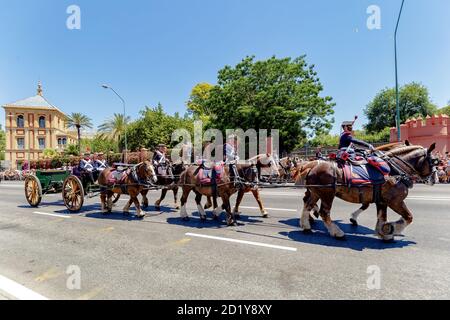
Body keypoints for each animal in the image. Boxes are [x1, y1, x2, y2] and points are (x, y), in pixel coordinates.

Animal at [294, 144, 438, 241]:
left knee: (307, 205)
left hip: (316, 192)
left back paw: (306, 226)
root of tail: (312, 166)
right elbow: (408, 217)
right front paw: (391, 229)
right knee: (324, 212)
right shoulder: (395, 201)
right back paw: (337, 232)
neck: (394, 170)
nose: (435, 179)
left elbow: (381, 217)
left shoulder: (381, 201)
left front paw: (383, 233)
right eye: (434, 161)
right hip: (327, 194)